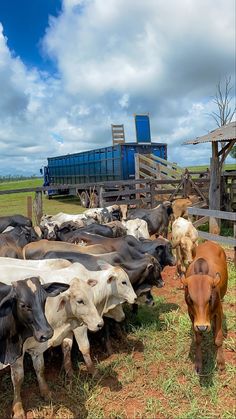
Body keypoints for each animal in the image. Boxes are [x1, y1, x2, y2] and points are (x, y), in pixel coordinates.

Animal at [182, 241, 228, 376]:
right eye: (191, 299)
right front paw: (198, 364)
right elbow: (197, 339)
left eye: (210, 298)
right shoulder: (191, 314)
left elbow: (218, 339)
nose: (202, 327)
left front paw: (221, 364)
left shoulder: (218, 311)